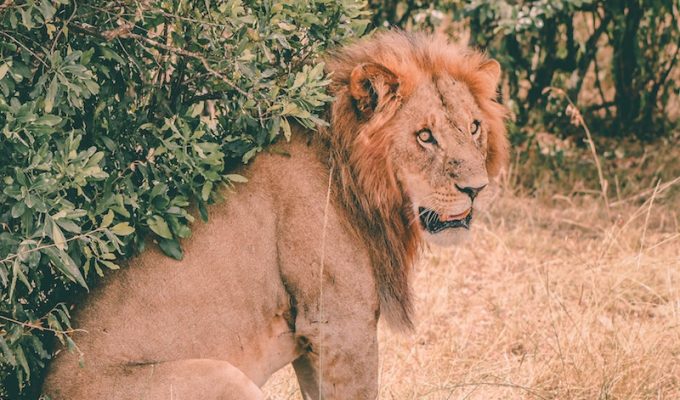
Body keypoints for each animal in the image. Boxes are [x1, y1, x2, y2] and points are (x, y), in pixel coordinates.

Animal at [42, 31, 508, 399]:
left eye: (474, 127)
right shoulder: (339, 323)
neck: (359, 184)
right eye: (425, 136)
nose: (476, 188)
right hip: (222, 375)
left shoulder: (314, 339)